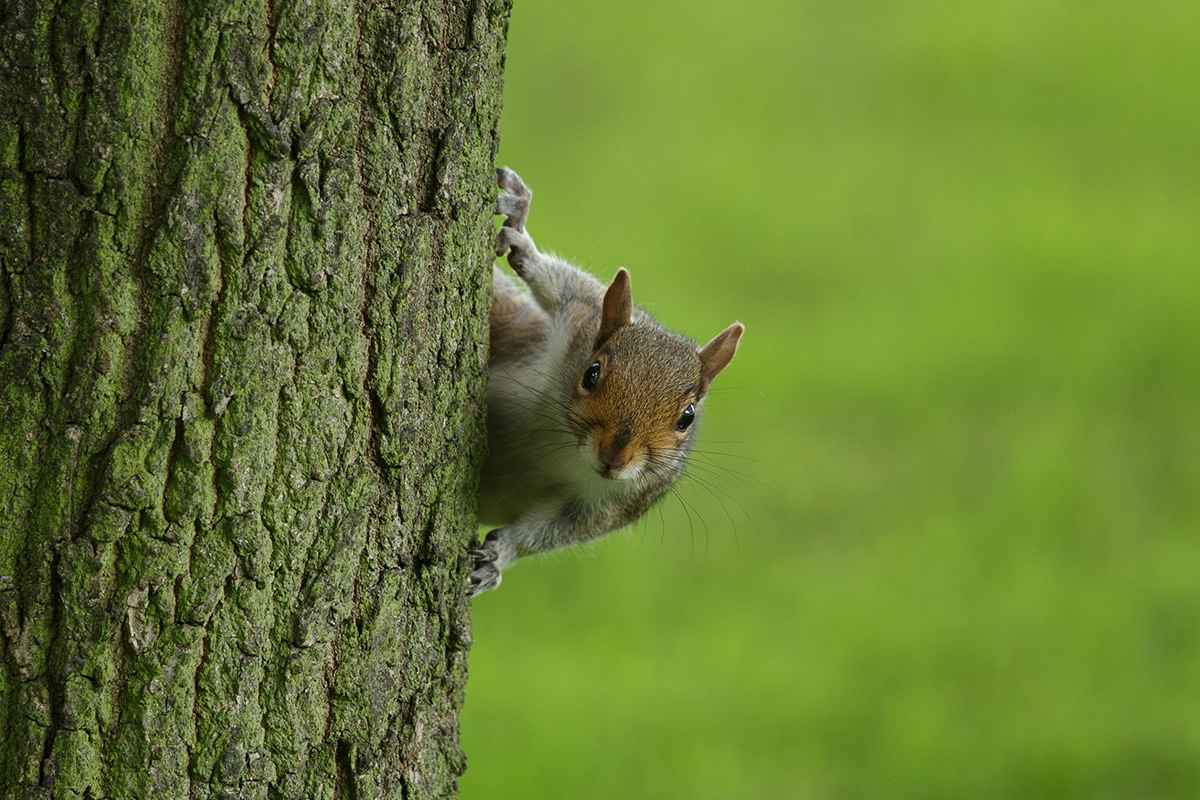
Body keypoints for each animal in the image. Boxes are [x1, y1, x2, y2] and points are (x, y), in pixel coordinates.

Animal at [470, 168, 744, 596]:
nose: (615, 457)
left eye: (687, 417)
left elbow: (547, 535)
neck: (569, 445)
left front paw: (498, 558)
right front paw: (521, 238)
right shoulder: (581, 318)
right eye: (591, 374)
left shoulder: (616, 504)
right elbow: (560, 282)